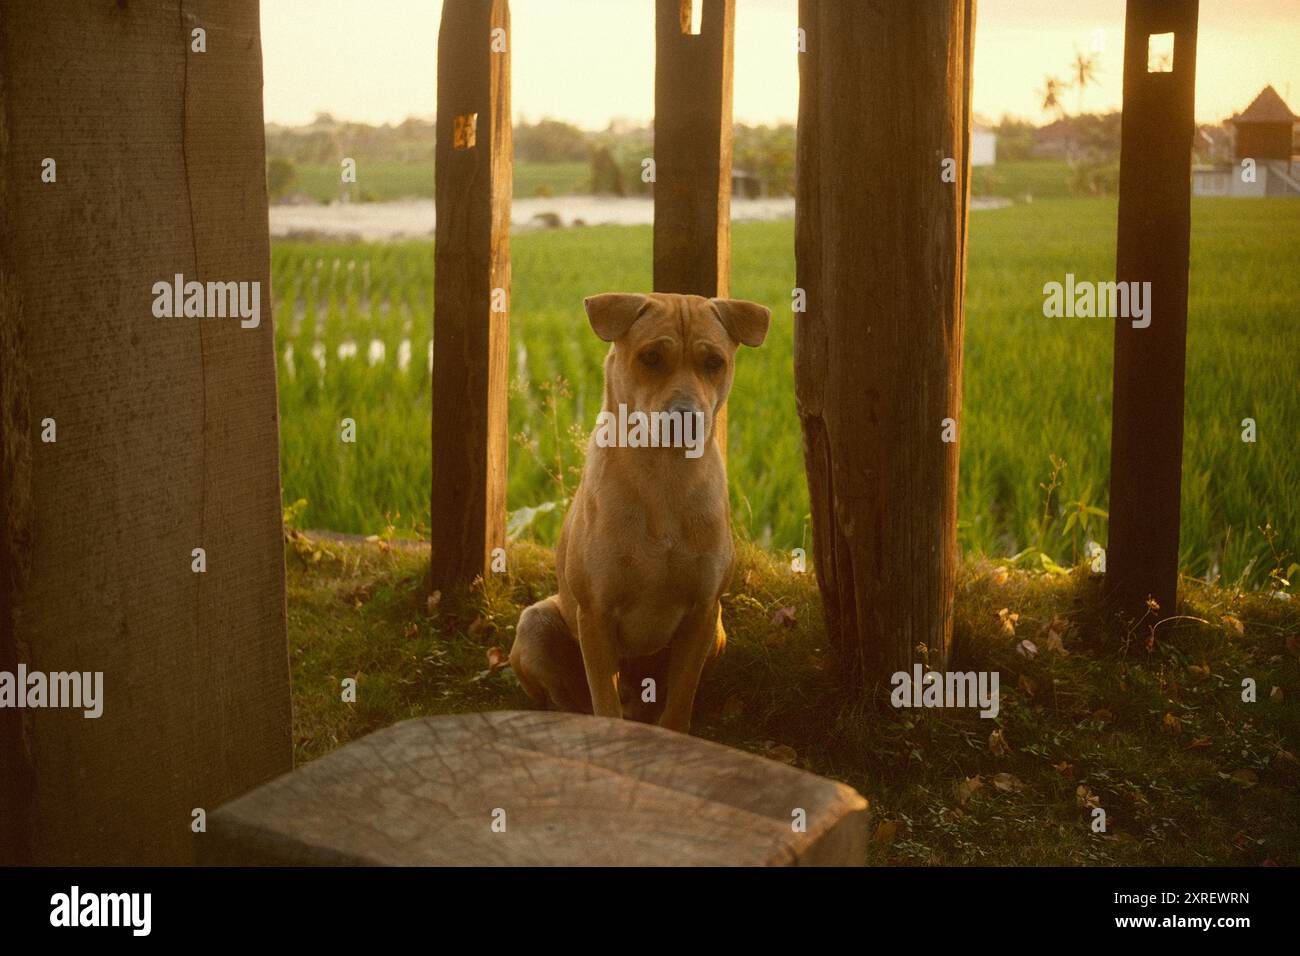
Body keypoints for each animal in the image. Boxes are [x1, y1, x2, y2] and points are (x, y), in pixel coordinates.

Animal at [509, 291, 769, 733]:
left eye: (714, 361)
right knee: (565, 696)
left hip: (718, 630)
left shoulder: (702, 613)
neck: (664, 476)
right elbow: (603, 699)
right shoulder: (595, 615)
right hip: (536, 624)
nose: (686, 416)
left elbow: (680, 701)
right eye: (650, 357)